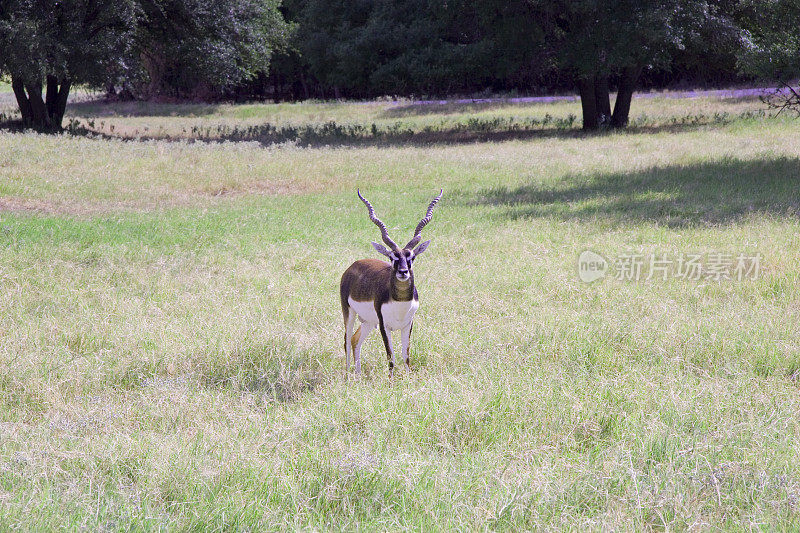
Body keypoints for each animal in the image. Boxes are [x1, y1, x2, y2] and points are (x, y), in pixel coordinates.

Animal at [340, 189, 444, 376]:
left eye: (412, 257)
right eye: (392, 257)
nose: (403, 272)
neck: (399, 302)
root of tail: (353, 265)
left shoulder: (408, 325)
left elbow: (406, 355)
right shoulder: (384, 326)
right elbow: (391, 358)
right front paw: (391, 381)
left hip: (368, 321)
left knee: (354, 339)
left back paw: (358, 375)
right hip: (349, 313)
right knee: (346, 340)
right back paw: (348, 376)